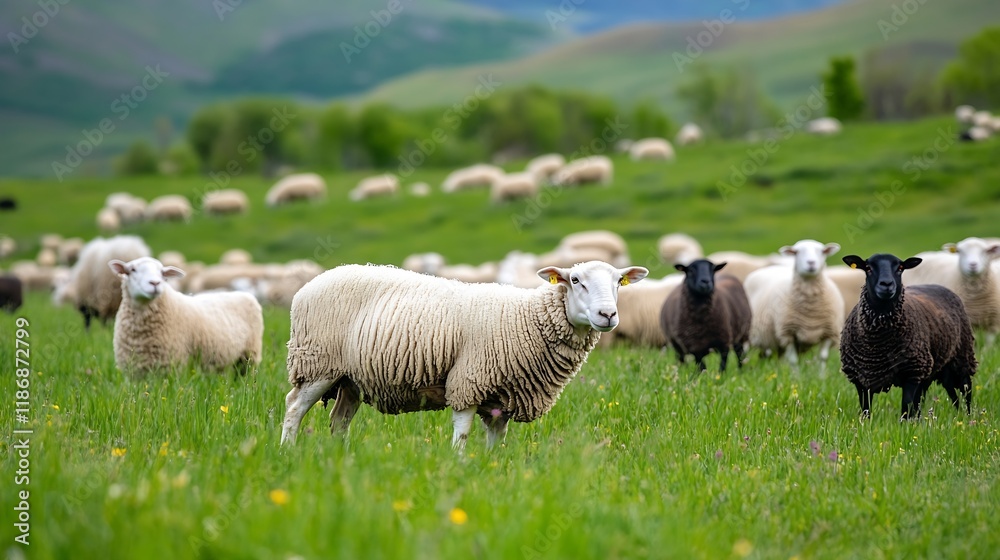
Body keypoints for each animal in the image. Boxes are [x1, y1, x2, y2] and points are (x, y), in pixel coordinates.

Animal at [109, 257, 263, 377]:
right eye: (132, 270)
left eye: (162, 273)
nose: (155, 283)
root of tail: (244, 294)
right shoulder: (134, 370)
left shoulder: (170, 363)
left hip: (249, 355)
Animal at [280, 261, 649, 450]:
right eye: (574, 280)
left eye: (619, 281)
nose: (607, 315)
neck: (526, 318)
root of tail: (306, 287)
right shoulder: (468, 381)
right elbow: (463, 433)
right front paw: (459, 468)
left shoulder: (504, 397)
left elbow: (497, 440)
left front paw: (493, 467)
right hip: (318, 362)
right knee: (294, 407)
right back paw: (287, 451)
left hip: (350, 378)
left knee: (339, 420)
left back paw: (339, 457)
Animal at [744, 240, 844, 368]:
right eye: (796, 252)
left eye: (822, 251)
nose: (811, 262)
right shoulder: (788, 333)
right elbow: (793, 361)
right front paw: (796, 374)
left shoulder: (829, 333)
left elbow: (822, 358)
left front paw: (821, 374)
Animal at [840, 254, 976, 419]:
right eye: (868, 268)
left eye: (900, 268)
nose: (887, 284)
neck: (878, 345)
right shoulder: (862, 379)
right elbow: (866, 411)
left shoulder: (911, 374)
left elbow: (905, 409)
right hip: (935, 369)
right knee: (947, 394)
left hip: (961, 358)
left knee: (966, 391)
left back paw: (968, 418)